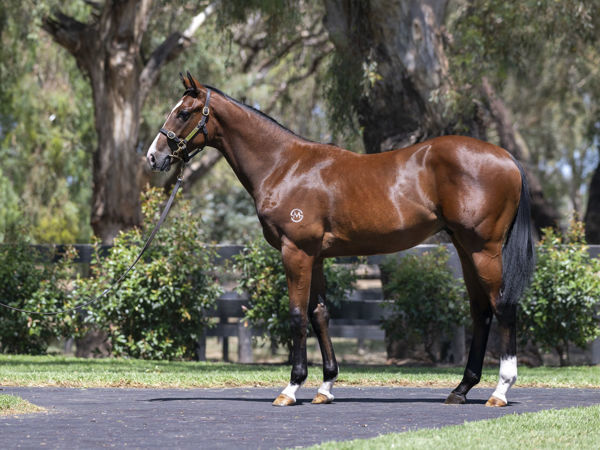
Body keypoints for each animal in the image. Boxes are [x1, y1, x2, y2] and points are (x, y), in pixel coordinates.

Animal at [145, 73, 536, 408]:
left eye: (183, 113)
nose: (153, 156)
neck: (285, 166)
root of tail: (508, 158)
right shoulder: (315, 256)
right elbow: (320, 314)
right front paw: (325, 386)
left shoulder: (296, 252)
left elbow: (297, 315)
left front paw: (291, 387)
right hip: (465, 248)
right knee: (481, 311)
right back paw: (461, 388)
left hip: (483, 249)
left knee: (503, 308)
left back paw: (500, 390)